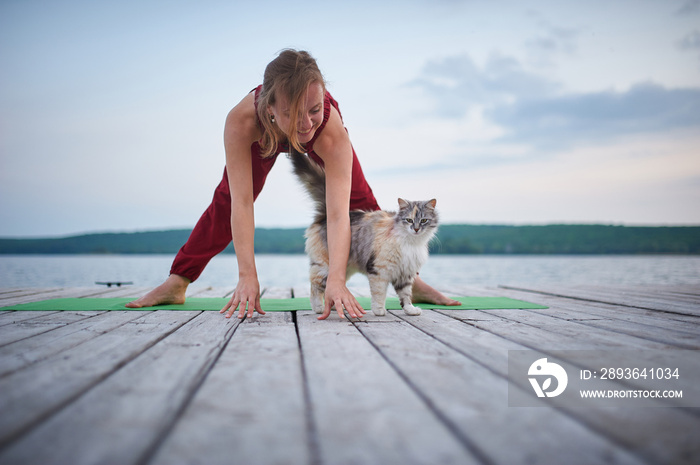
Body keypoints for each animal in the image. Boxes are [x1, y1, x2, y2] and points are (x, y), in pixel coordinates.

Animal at [290, 150, 438, 318]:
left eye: (424, 220)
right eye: (409, 220)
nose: (416, 229)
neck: (411, 243)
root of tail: (326, 215)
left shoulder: (405, 273)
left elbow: (406, 296)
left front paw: (410, 310)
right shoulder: (379, 270)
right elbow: (379, 294)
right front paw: (379, 311)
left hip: (342, 268)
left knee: (332, 286)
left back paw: (333, 306)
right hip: (324, 266)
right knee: (315, 286)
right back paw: (319, 308)